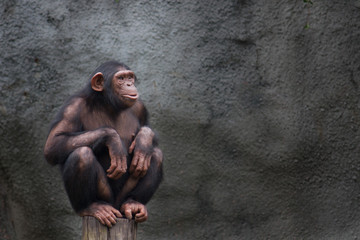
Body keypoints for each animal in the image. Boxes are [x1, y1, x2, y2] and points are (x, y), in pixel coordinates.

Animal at [43, 60, 163, 227]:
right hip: (106, 197)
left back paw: (134, 203)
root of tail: (116, 208)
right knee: (81, 154)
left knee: (156, 155)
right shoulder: (72, 107)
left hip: (121, 199)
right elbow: (54, 144)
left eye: (130, 77)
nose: (129, 84)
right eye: (120, 78)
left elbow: (147, 127)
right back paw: (90, 207)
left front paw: (144, 139)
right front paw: (113, 139)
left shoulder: (140, 107)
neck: (108, 104)